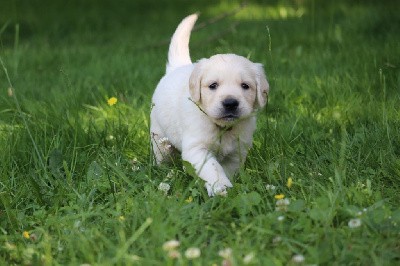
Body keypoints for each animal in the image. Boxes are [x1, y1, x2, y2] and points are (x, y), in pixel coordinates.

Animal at [150, 14, 268, 196]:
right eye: (213, 85)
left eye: (245, 86)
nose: (230, 103)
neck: (223, 128)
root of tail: (177, 67)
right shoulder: (197, 149)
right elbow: (213, 169)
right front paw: (221, 188)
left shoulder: (237, 151)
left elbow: (227, 169)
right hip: (159, 138)